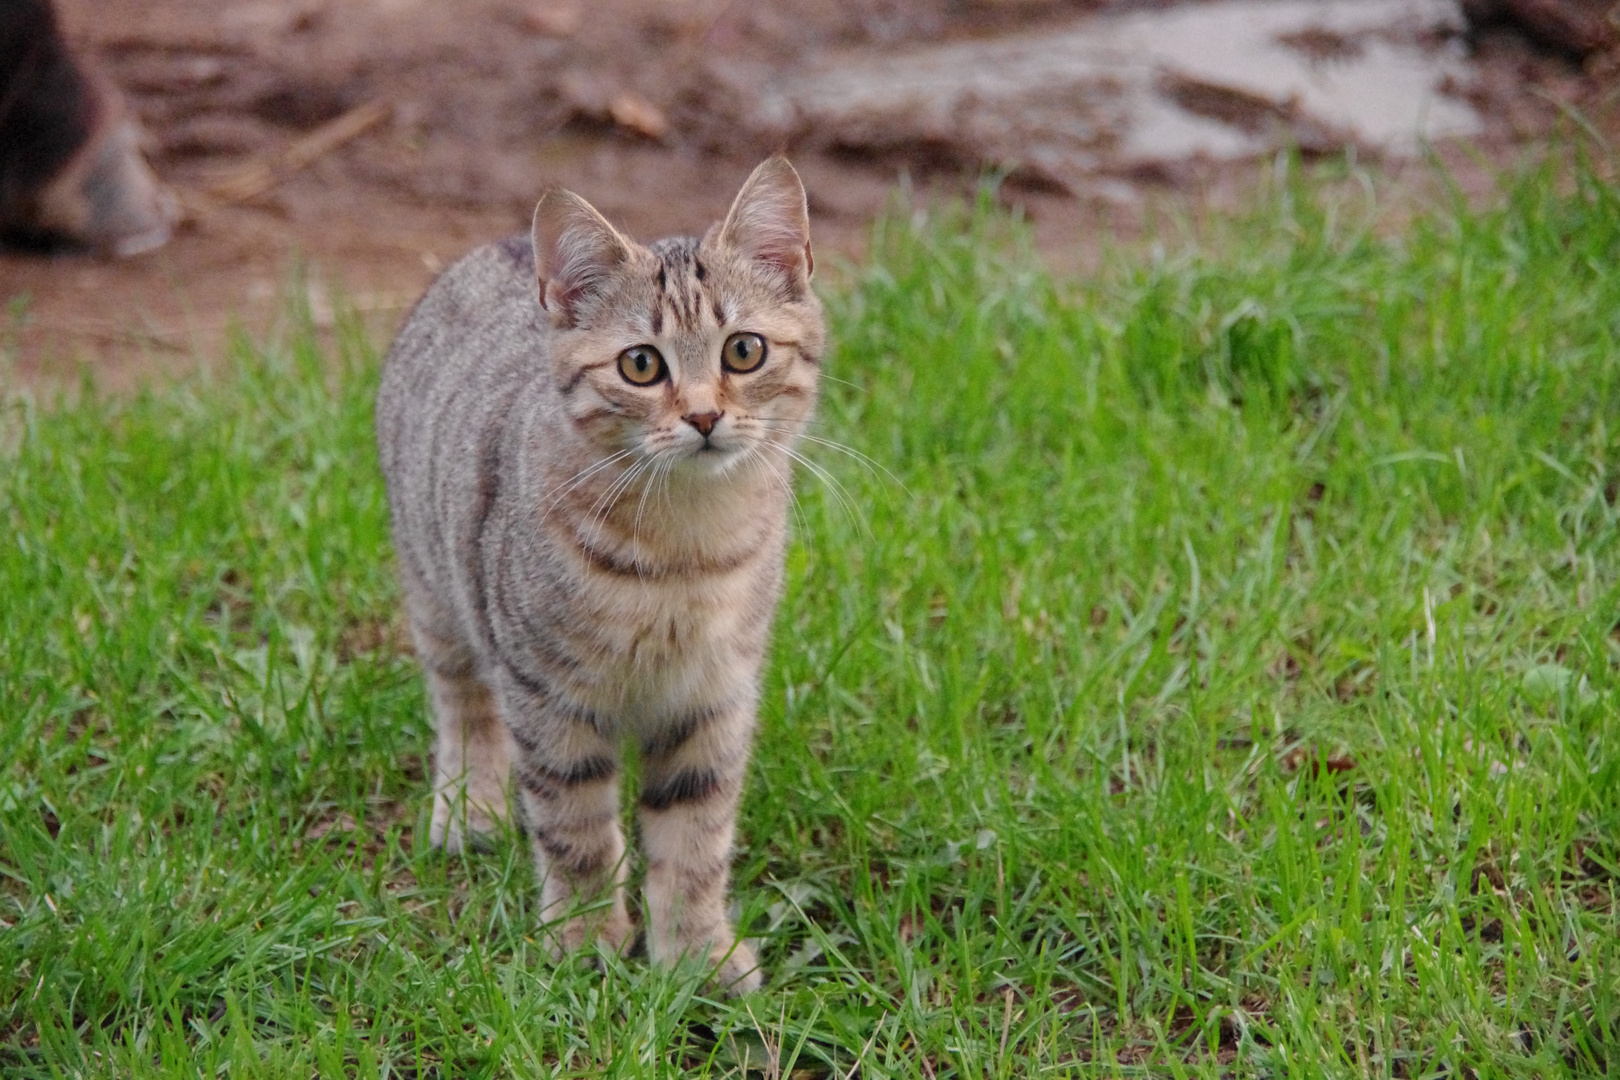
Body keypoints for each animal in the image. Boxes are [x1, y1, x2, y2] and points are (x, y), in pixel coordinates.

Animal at [370, 156, 822, 990]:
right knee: (463, 704)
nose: (704, 417)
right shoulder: (550, 695)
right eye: (641, 364)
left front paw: (695, 956)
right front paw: (584, 946)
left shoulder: (713, 698)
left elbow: (694, 839)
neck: (685, 550)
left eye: (743, 351)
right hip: (439, 593)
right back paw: (470, 807)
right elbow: (575, 828)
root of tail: (504, 244)